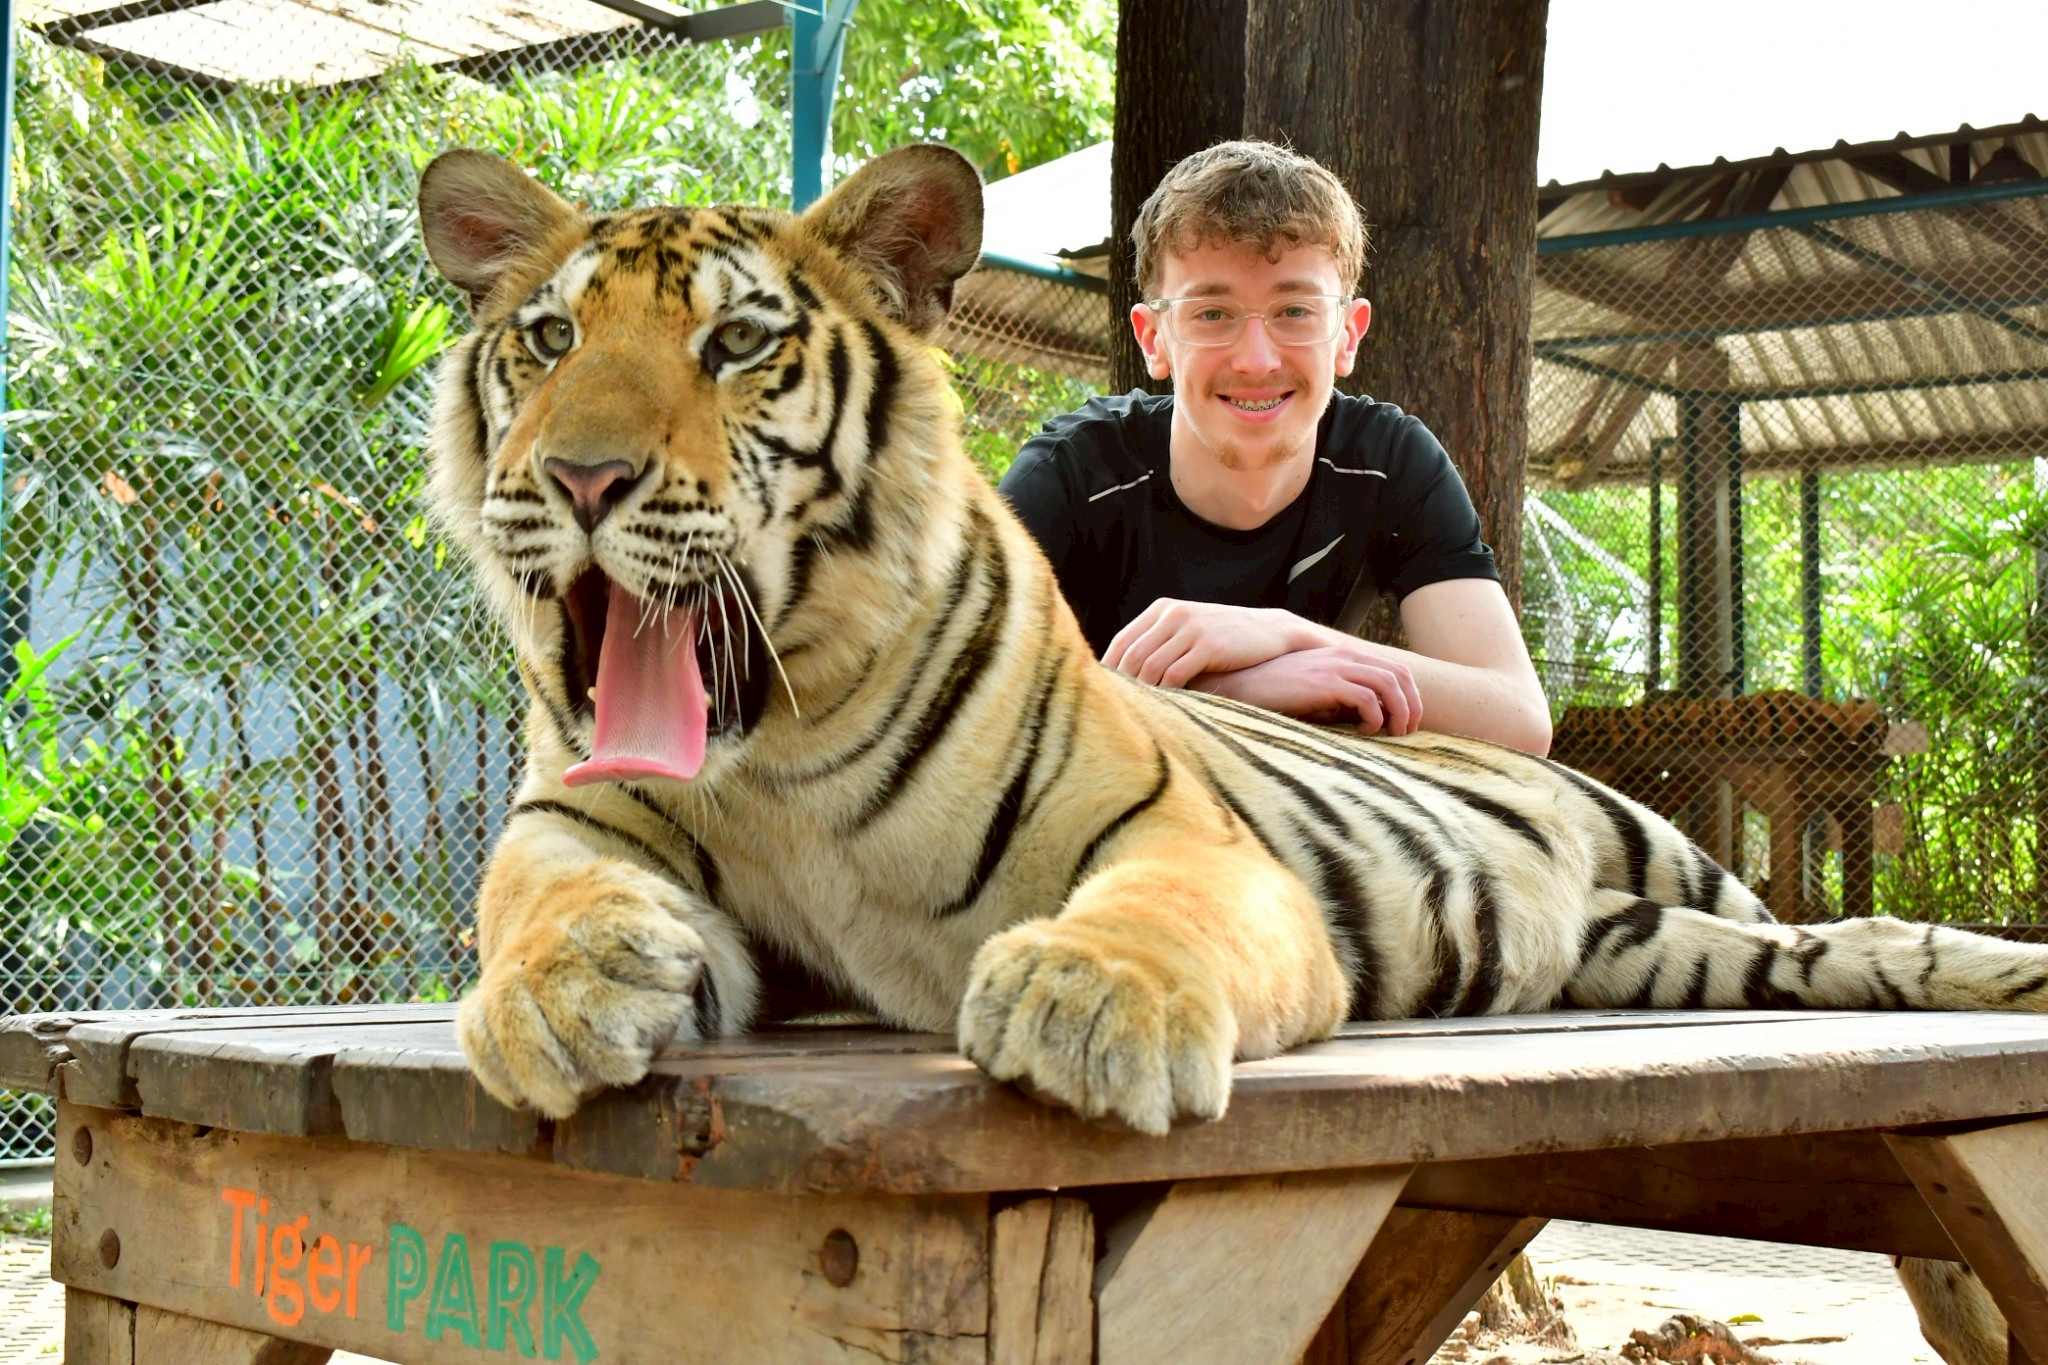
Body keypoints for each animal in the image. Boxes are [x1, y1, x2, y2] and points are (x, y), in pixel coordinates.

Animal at [416, 140, 2048, 1138]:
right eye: (551, 341)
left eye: (738, 343)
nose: (581, 479)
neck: (782, 747)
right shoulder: (576, 813)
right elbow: (537, 892)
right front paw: (560, 992)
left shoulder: (1191, 842)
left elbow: (1157, 912)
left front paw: (1088, 1003)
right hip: (1650, 944)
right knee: (1830, 944)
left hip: (1659, 852)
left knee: (1834, 920)